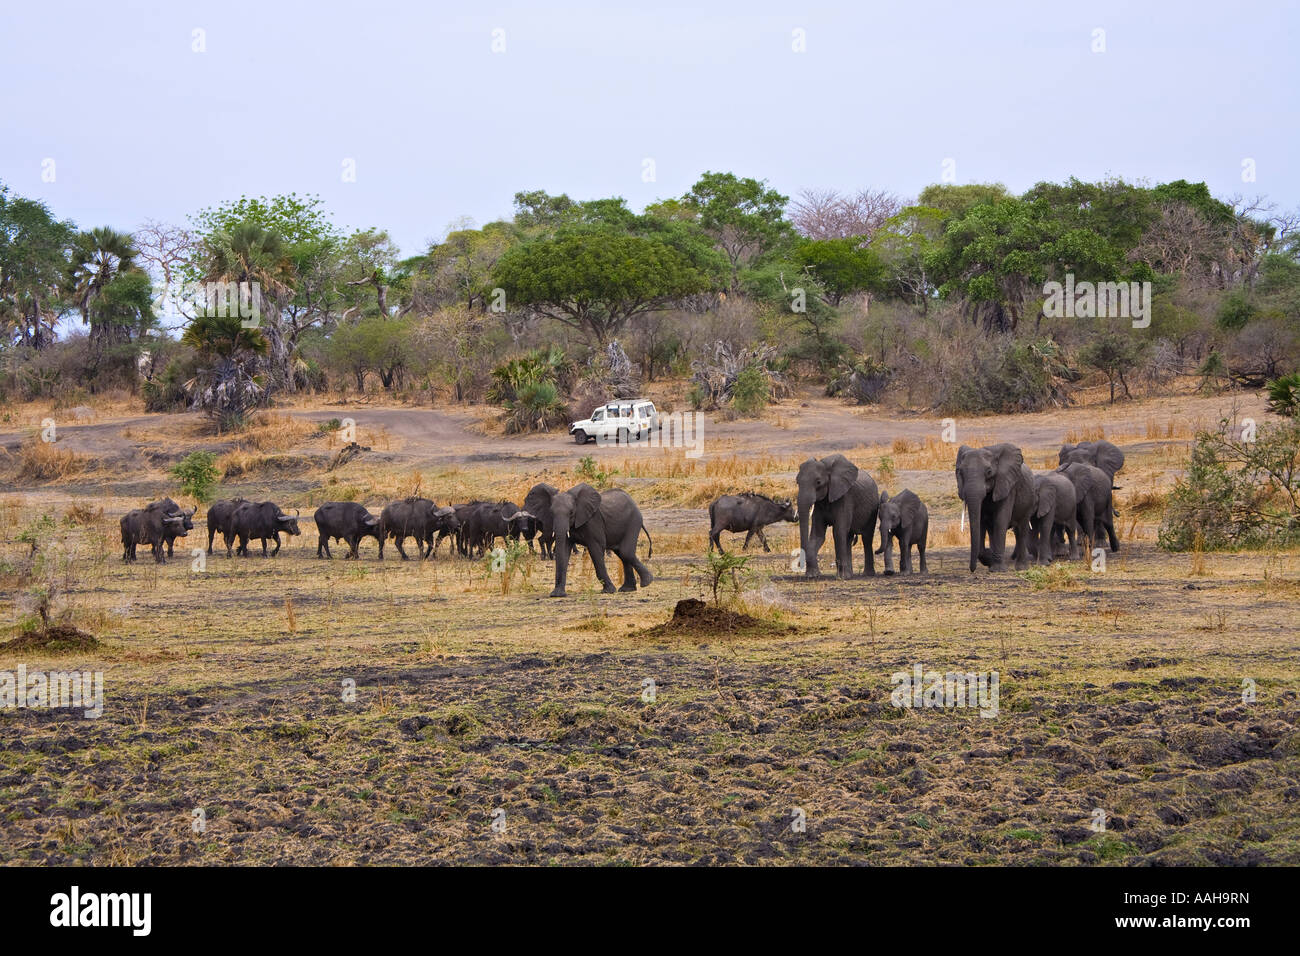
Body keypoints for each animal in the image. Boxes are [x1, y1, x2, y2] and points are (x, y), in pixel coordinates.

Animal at [956, 444, 1034, 572]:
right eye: (960, 472)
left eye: (989, 472)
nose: (972, 569)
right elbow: (981, 521)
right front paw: (989, 559)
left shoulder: (1007, 486)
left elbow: (1001, 520)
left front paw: (997, 569)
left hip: (1028, 501)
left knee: (1022, 529)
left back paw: (1021, 568)